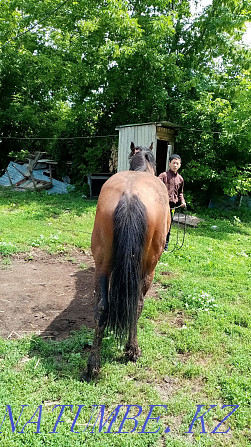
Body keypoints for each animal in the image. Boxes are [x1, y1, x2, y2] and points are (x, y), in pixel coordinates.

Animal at [85, 144, 171, 382]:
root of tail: (130, 196)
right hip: (148, 268)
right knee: (137, 303)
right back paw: (132, 349)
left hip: (102, 264)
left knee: (102, 307)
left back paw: (92, 366)